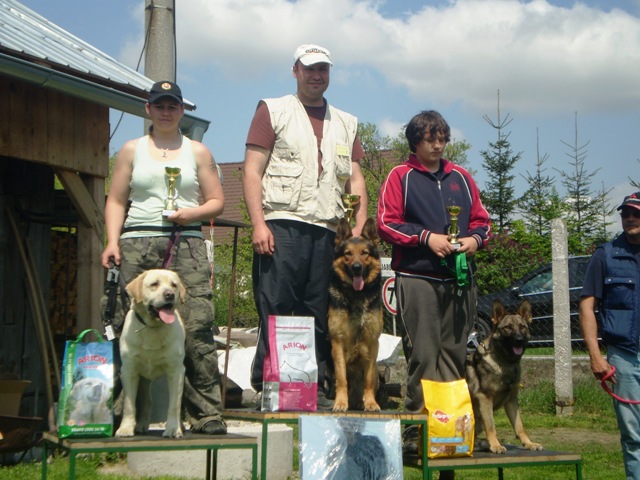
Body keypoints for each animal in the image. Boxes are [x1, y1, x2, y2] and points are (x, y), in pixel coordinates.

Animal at [116, 270, 186, 438]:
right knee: (146, 400)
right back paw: (141, 425)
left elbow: (174, 404)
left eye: (174, 285)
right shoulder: (129, 370)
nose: (170, 295)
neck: (152, 328)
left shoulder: (176, 371)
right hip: (143, 379)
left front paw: (173, 429)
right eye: (154, 284)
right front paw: (125, 428)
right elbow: (129, 404)